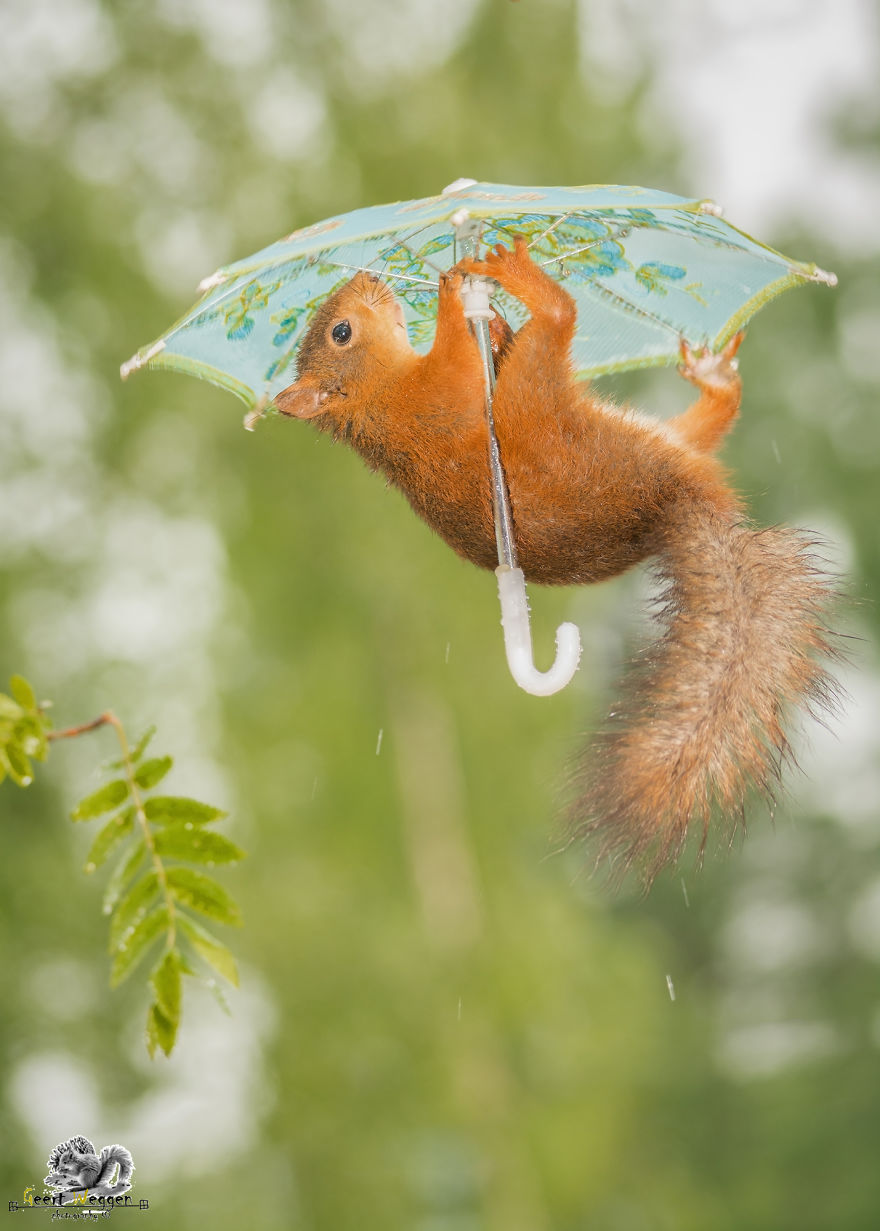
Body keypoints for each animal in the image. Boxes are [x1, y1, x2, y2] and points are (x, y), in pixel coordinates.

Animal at [276, 237, 838, 879]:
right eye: (341, 332)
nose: (369, 277)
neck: (380, 395)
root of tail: (671, 493)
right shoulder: (432, 398)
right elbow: (455, 358)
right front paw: (453, 298)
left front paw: (491, 322)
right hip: (539, 414)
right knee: (558, 327)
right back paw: (529, 288)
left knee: (704, 426)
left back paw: (711, 379)